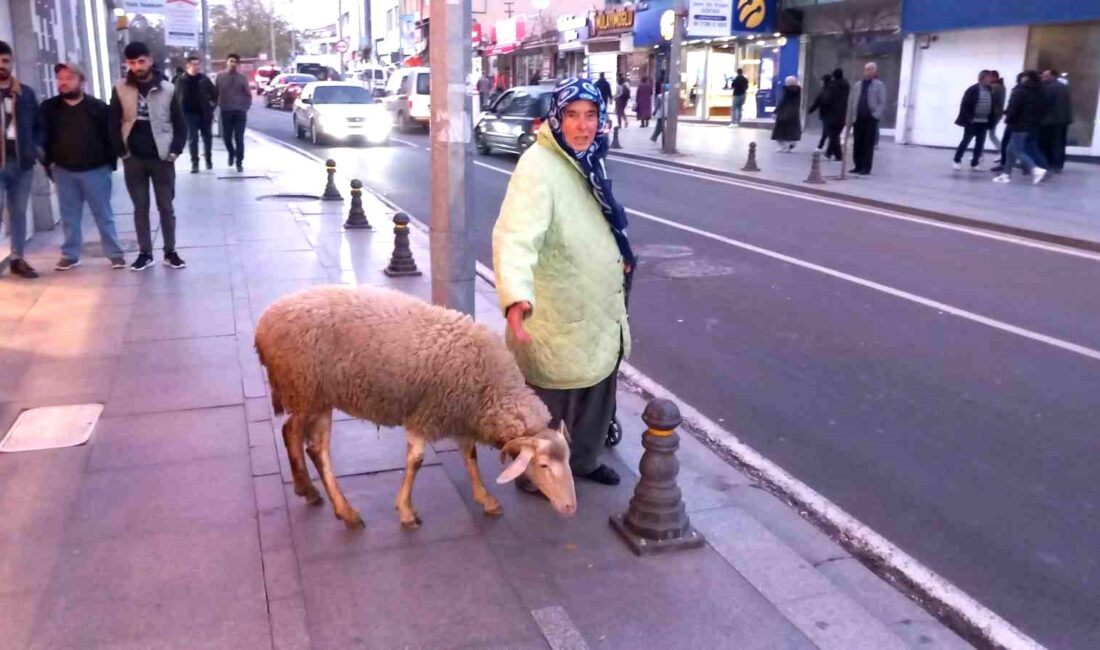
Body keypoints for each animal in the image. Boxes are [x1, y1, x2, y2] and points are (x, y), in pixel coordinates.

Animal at [254, 285, 580, 527]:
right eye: (543, 465)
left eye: (567, 460)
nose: (570, 508)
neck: (490, 388)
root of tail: (263, 324)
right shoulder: (425, 415)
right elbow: (417, 461)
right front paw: (406, 511)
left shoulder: (459, 415)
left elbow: (470, 457)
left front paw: (486, 499)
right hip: (304, 388)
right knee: (298, 438)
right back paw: (338, 507)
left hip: (318, 395)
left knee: (308, 444)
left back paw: (316, 495)